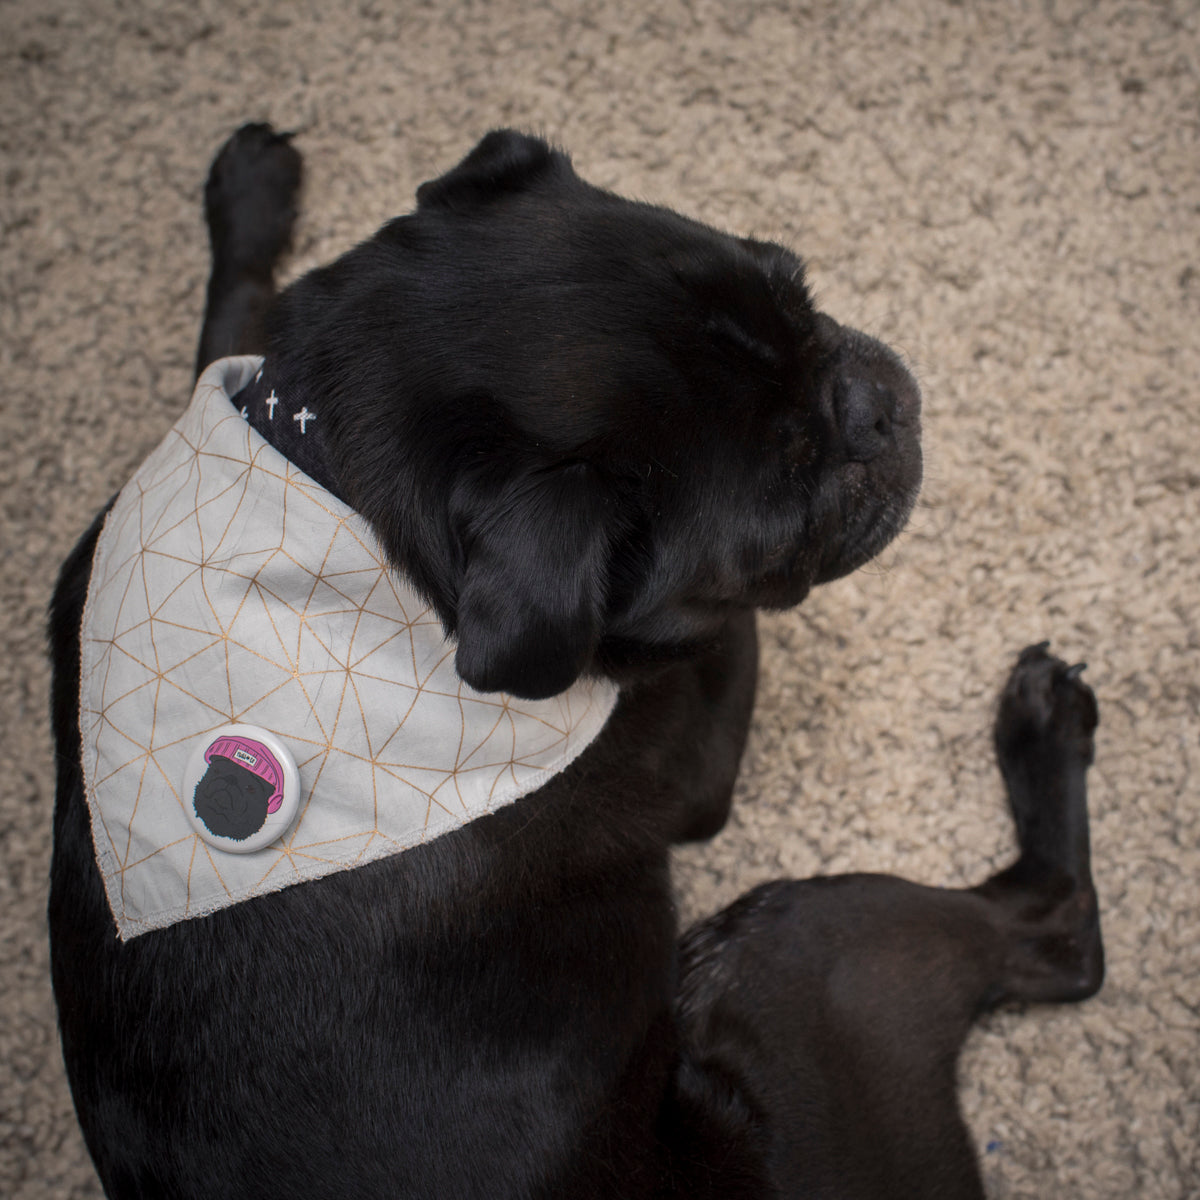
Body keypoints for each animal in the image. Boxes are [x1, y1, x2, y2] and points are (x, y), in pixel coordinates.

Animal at [49, 124, 1103, 1198]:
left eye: (802, 294)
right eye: (794, 493)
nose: (872, 404)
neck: (340, 490)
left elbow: (232, 325)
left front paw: (250, 195)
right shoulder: (687, 757)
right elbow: (722, 632)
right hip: (787, 944)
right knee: (1058, 938)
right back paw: (1042, 725)